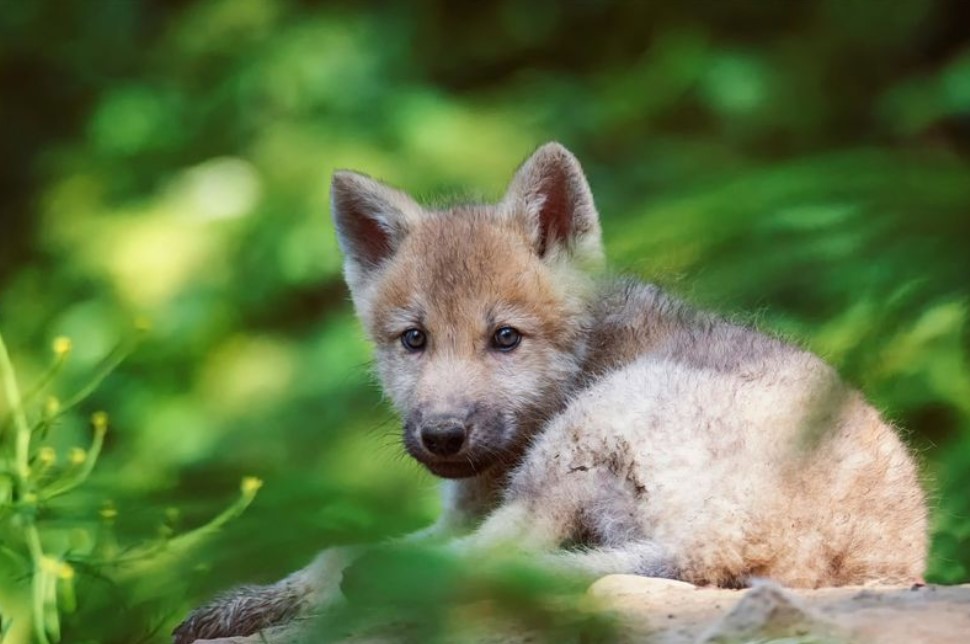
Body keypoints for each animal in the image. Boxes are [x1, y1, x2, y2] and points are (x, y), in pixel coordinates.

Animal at [174, 143, 927, 643]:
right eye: (413, 339)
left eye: (506, 338)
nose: (441, 436)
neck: (588, 351)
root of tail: (726, 549)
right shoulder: (457, 515)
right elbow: (329, 553)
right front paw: (244, 604)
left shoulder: (499, 502)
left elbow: (355, 558)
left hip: (583, 440)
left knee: (486, 566)